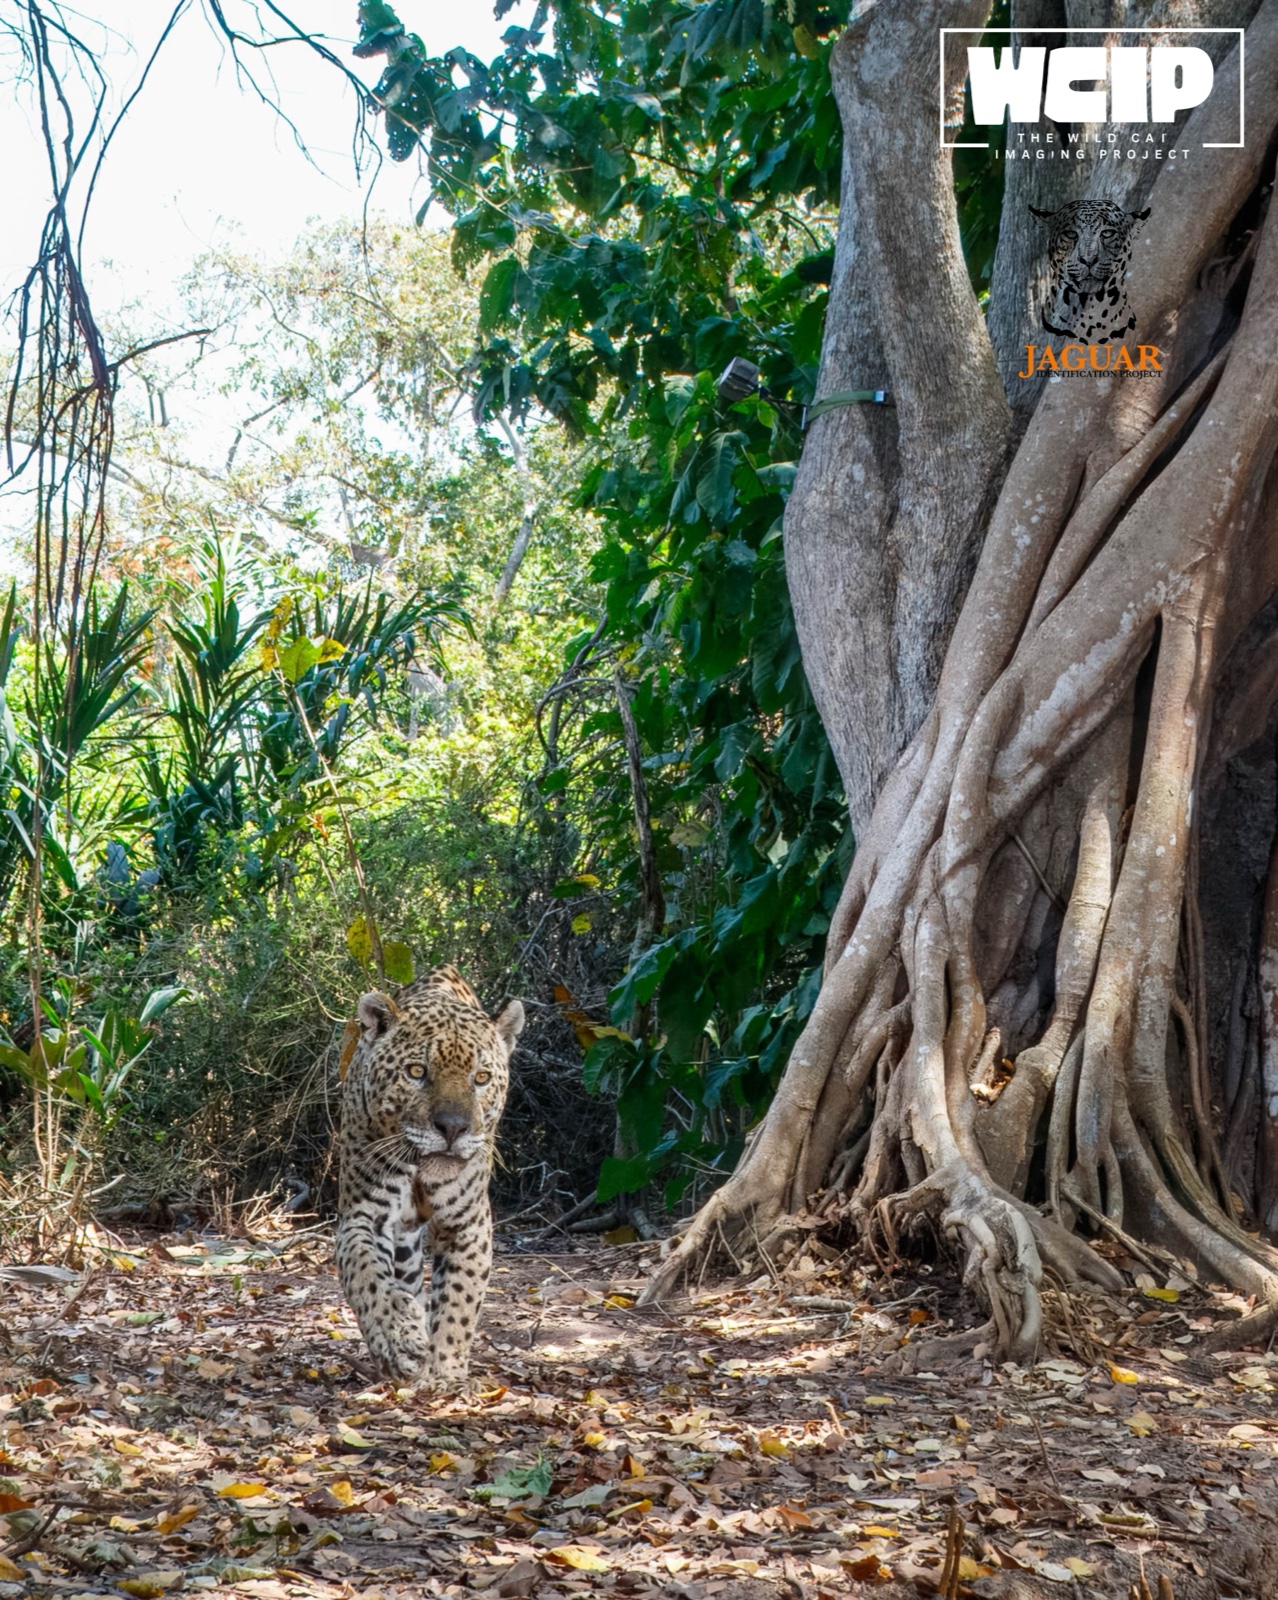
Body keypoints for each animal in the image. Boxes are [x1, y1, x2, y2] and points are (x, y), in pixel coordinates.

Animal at [334, 965, 524, 1386]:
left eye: (481, 1077)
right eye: (416, 1072)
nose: (453, 1127)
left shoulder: (468, 1223)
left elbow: (459, 1300)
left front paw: (445, 1373)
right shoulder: (362, 1214)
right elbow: (366, 1275)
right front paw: (398, 1339)